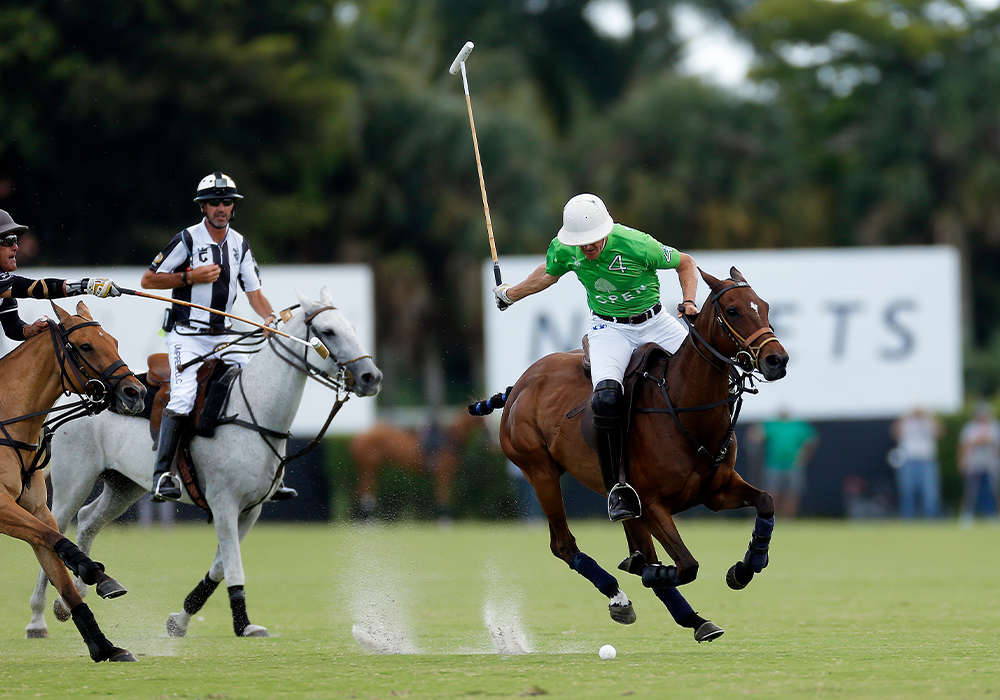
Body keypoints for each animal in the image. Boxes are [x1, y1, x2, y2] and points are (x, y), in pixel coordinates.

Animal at [0, 300, 146, 660]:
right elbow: (58, 540)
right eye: (86, 346)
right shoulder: (1, 506)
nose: (136, 393)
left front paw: (105, 646)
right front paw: (95, 573)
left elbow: (58, 561)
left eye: (114, 341)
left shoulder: (37, 509)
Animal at [26, 288, 382, 640]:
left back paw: (70, 599)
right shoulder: (224, 502)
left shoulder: (251, 509)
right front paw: (243, 623)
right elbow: (234, 564)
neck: (254, 410)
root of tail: (84, 393)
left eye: (351, 326)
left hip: (124, 485)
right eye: (328, 331)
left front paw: (180, 620)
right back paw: (38, 618)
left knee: (87, 520)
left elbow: (221, 565)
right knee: (54, 529)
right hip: (75, 481)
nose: (371, 377)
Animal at [352, 410, 488, 520]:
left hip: (371, 469)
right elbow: (443, 496)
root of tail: (358, 437)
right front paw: (445, 521)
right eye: (482, 420)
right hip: (370, 468)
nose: (488, 436)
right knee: (366, 490)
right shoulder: (444, 473)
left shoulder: (444, 475)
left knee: (363, 489)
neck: (450, 439)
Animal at [472, 270, 792, 644]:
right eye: (733, 310)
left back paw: (692, 617)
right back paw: (621, 595)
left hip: (613, 490)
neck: (685, 405)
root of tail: (520, 384)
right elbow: (686, 564)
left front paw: (744, 568)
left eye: (765, 306)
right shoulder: (652, 503)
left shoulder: (717, 490)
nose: (777, 360)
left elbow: (766, 501)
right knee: (563, 544)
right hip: (539, 470)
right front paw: (647, 571)